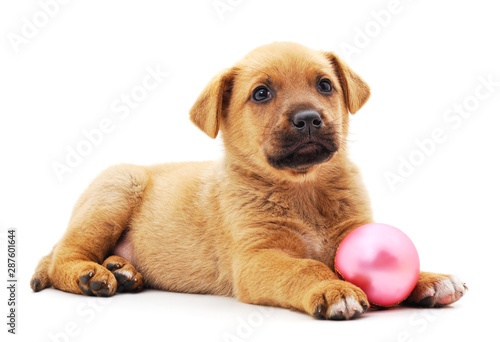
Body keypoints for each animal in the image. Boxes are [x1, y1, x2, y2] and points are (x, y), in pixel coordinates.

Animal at [31, 43, 464, 320]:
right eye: (261, 93)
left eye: (325, 85)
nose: (308, 118)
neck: (304, 190)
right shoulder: (256, 258)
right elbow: (306, 268)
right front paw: (334, 289)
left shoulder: (352, 231)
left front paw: (428, 279)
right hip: (116, 188)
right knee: (63, 256)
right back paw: (93, 275)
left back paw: (122, 269)